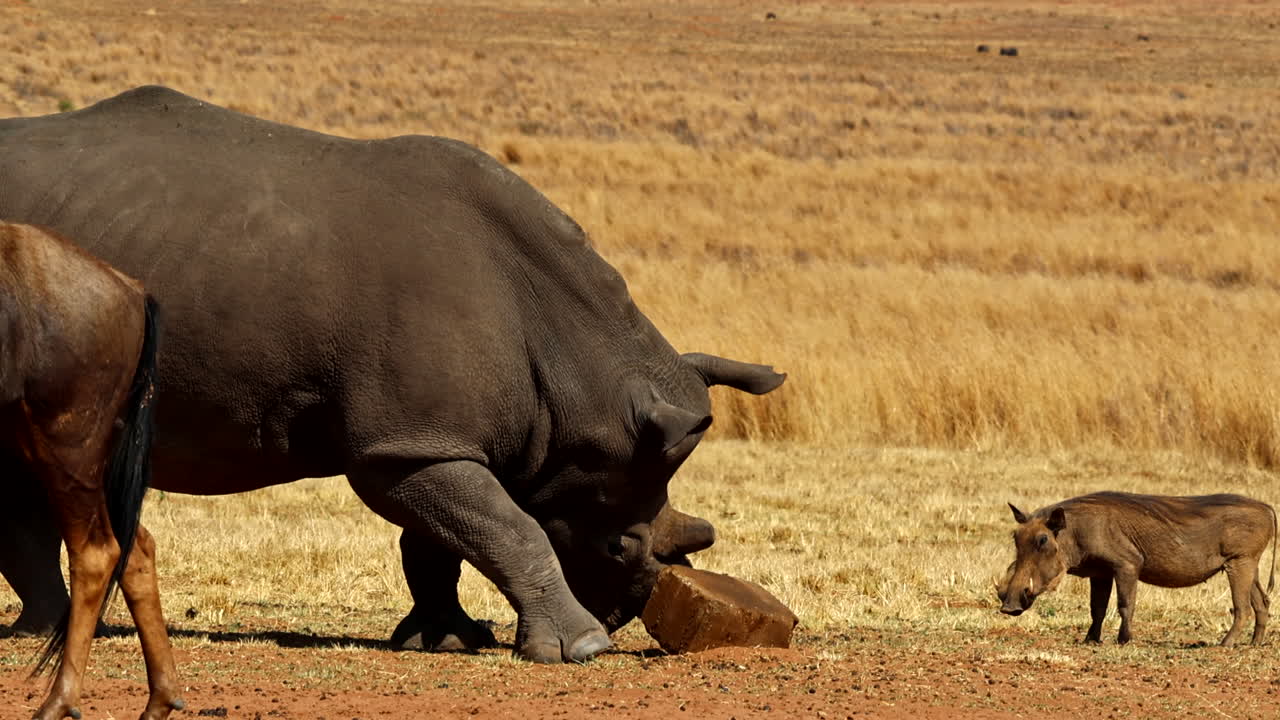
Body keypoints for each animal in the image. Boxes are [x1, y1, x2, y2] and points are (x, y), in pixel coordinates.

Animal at [0, 86, 785, 663]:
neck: (575, 368)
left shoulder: (429, 436)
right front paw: (579, 649)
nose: (626, 612)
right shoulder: (406, 442)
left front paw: (445, 640)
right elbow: (505, 527)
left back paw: (44, 628)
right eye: (620, 543)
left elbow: (445, 540)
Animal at [998, 492, 1277, 646]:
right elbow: (1097, 609)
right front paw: (1090, 640)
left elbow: (1125, 604)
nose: (1008, 607)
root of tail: (1266, 507)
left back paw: (1225, 644)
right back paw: (1254, 644)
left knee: (1242, 608)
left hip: (1240, 562)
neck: (1076, 531)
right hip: (1250, 564)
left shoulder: (1127, 565)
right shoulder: (1100, 572)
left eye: (1043, 540)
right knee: (1262, 602)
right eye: (1015, 537)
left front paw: (1124, 640)